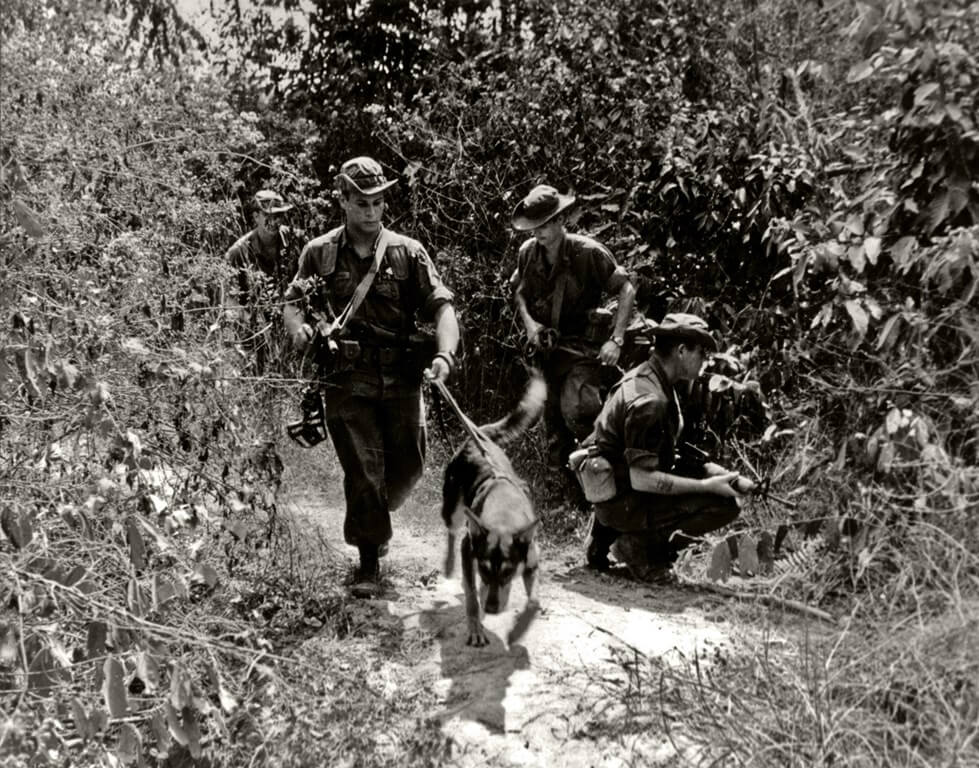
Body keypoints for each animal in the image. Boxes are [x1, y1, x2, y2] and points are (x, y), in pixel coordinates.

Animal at [442, 368, 548, 644]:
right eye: (484, 569)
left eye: (508, 574)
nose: (491, 609)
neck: (505, 514)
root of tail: (477, 436)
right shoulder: (469, 550)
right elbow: (470, 596)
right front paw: (476, 628)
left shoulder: (531, 562)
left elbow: (534, 601)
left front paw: (519, 630)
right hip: (454, 510)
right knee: (451, 532)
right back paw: (449, 565)